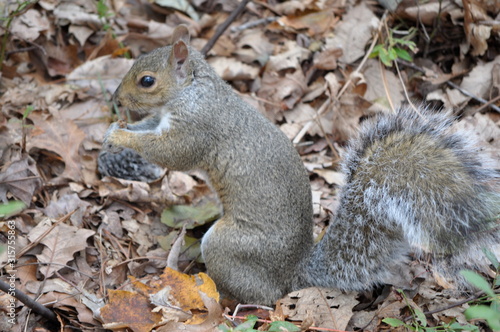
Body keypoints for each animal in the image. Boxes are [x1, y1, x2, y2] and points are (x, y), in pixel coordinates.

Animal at [102, 24, 500, 304]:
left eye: (147, 80)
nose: (115, 99)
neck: (192, 91)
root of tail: (295, 275)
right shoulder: (164, 119)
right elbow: (150, 130)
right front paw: (113, 130)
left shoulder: (198, 128)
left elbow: (172, 153)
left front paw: (121, 137)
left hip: (230, 246)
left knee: (264, 297)